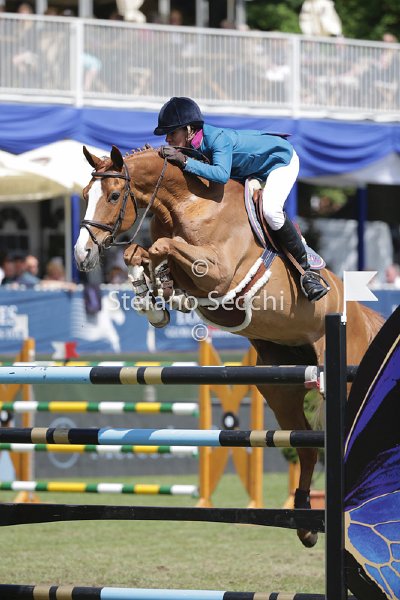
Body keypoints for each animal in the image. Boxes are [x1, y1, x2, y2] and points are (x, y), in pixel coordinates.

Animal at [74, 144, 384, 548]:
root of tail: (361, 316)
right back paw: (304, 522)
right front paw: (152, 298)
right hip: (279, 387)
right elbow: (141, 255)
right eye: (84, 195)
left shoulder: (219, 273)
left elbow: (162, 247)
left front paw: (157, 291)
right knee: (306, 448)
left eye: (113, 196)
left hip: (343, 384)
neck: (187, 202)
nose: (82, 255)